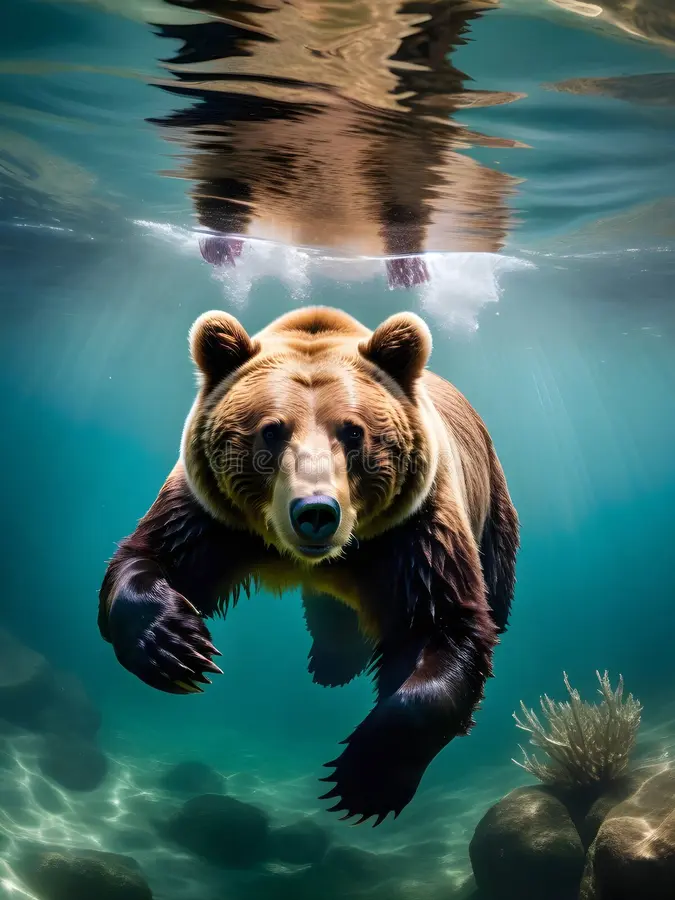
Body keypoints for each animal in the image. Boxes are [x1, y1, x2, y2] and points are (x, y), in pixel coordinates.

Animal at [98, 306, 519, 825]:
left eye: (354, 431)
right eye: (271, 429)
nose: (316, 511)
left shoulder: (416, 534)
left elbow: (446, 629)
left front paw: (364, 779)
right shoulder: (209, 516)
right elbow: (147, 557)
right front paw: (178, 648)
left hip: (492, 506)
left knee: (495, 590)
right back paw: (331, 661)